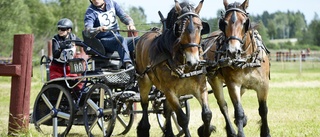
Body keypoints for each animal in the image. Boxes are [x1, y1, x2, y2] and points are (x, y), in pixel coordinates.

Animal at [135, 0, 215, 136]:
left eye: (200, 27)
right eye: (180, 29)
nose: (193, 61)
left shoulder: (201, 87)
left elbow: (207, 114)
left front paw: (204, 131)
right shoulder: (169, 91)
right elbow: (183, 119)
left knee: (167, 111)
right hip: (144, 81)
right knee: (144, 105)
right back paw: (144, 128)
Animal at [202, 0, 270, 137]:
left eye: (244, 23)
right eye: (224, 23)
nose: (233, 51)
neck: (246, 60)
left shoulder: (263, 85)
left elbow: (263, 110)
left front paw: (266, 132)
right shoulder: (233, 85)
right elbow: (238, 112)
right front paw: (240, 131)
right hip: (214, 80)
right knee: (223, 106)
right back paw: (231, 131)